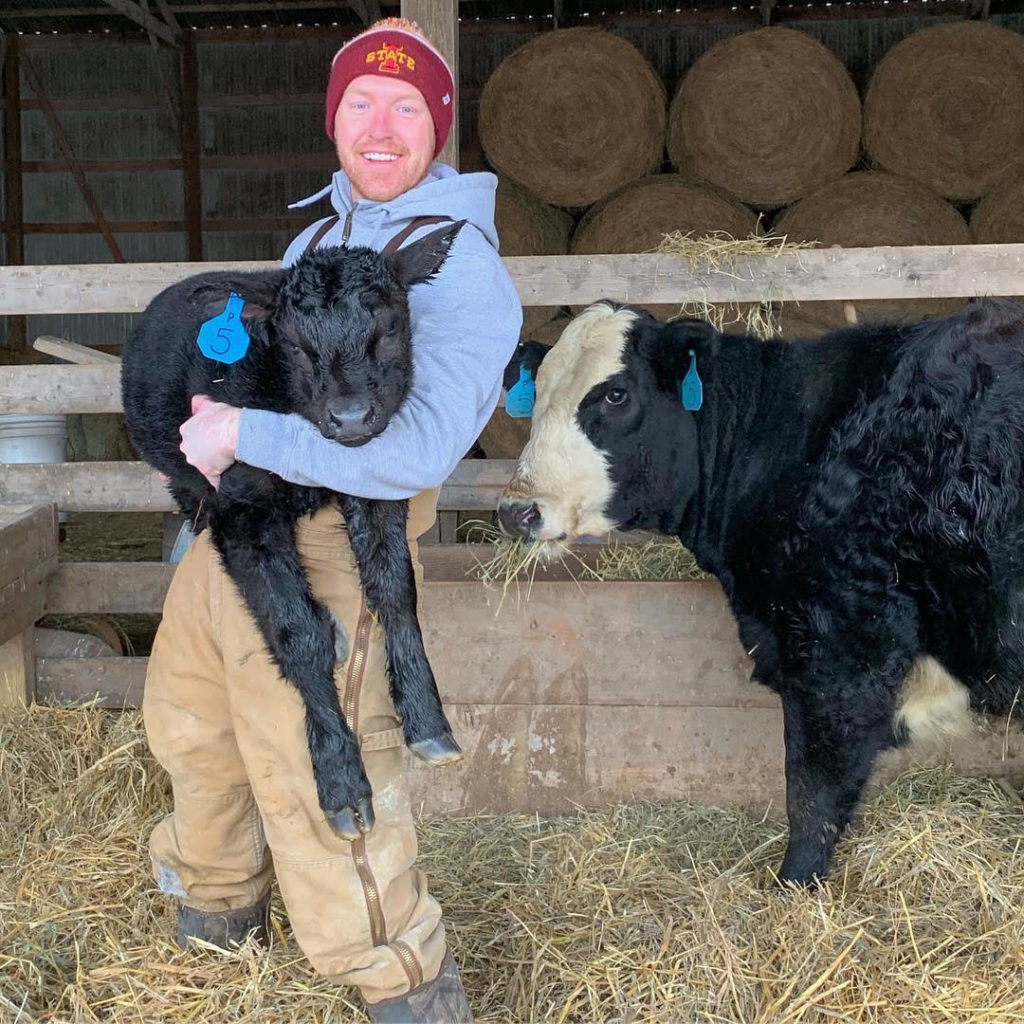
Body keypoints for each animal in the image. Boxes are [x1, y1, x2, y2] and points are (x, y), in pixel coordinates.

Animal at [497, 296, 1024, 880]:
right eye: (537, 394)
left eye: (615, 394)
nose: (517, 511)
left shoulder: (840, 642)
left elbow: (814, 785)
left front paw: (794, 882)